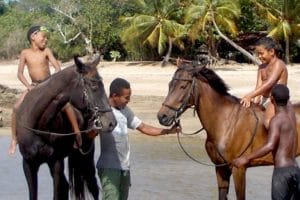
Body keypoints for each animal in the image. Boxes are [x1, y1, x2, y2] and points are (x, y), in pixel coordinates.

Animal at [15, 54, 117, 200]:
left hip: (86, 156)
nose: (111, 123)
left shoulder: (56, 163)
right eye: (93, 85)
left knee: (93, 187)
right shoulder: (28, 165)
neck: (38, 125)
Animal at [157, 61, 300, 199]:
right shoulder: (220, 168)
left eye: (182, 86)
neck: (226, 122)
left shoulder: (239, 169)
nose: (162, 116)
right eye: (170, 85)